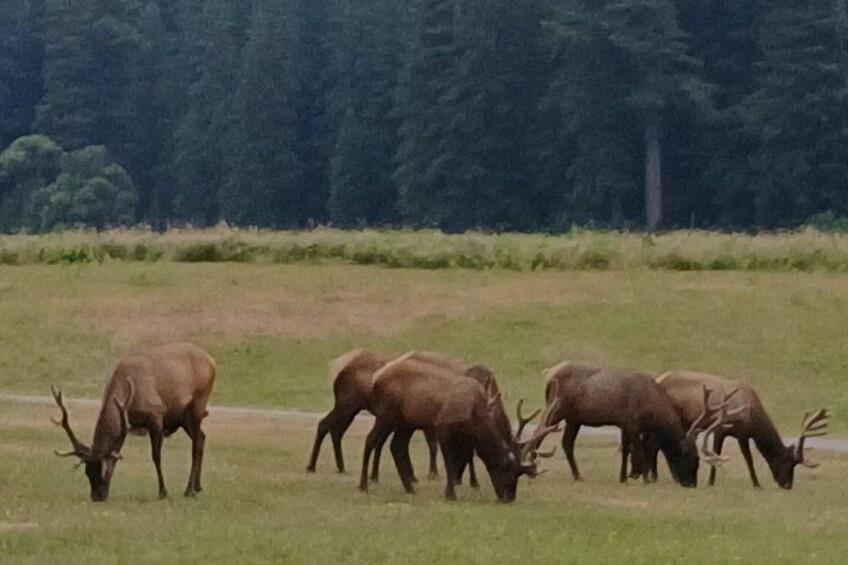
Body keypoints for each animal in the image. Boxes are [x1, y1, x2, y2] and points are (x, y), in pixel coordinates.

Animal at [51, 342, 216, 501]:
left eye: (105, 472)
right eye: (87, 472)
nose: (96, 497)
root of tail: (212, 361)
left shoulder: (156, 416)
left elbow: (156, 456)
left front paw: (163, 492)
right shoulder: (126, 425)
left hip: (198, 404)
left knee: (196, 443)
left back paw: (189, 490)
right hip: (183, 417)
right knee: (202, 437)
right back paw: (197, 487)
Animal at [359, 352, 559, 502]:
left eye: (519, 475)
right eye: (507, 470)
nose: (509, 498)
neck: (474, 412)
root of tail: (376, 379)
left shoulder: (466, 435)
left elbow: (463, 458)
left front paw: (460, 484)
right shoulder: (443, 427)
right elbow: (450, 460)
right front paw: (451, 492)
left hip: (406, 422)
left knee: (397, 446)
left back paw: (409, 488)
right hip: (387, 414)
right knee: (371, 439)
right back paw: (364, 485)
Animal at [542, 362, 735, 487]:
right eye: (690, 456)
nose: (691, 483)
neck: (653, 412)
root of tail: (548, 380)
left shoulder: (625, 424)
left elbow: (627, 450)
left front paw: (625, 477)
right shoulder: (633, 423)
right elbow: (640, 451)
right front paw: (643, 478)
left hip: (573, 419)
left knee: (566, 443)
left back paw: (577, 475)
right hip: (556, 411)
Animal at [646, 371, 830, 489]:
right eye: (787, 462)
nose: (787, 485)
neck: (751, 416)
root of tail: (659, 379)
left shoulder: (742, 434)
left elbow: (748, 458)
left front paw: (756, 483)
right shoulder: (720, 428)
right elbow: (719, 452)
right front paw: (711, 482)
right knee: (655, 444)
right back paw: (654, 476)